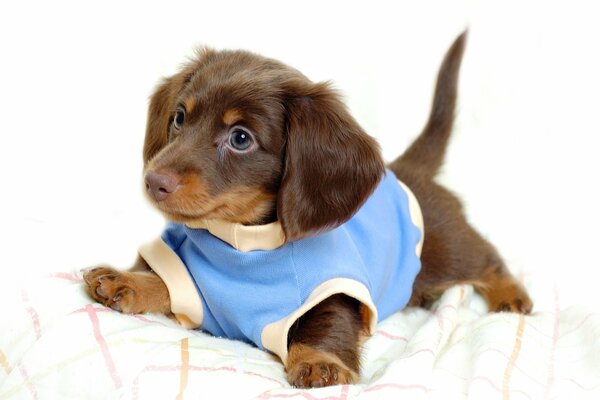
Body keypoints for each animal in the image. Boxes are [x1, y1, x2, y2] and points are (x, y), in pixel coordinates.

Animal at [83, 32, 528, 390]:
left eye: (240, 138)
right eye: (179, 117)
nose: (153, 181)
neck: (242, 245)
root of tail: (408, 170)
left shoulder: (336, 291)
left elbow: (323, 324)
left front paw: (318, 361)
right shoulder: (191, 278)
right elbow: (162, 277)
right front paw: (125, 281)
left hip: (446, 250)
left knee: (487, 259)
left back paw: (511, 294)